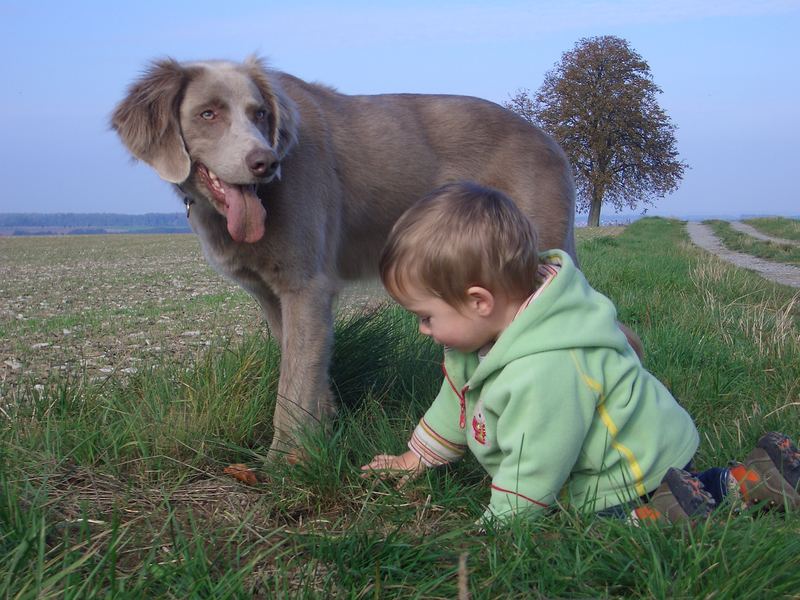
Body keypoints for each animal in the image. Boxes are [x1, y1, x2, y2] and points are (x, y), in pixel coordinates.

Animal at [111, 57, 576, 460]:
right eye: (208, 113)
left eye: (260, 114)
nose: (266, 163)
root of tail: (551, 141)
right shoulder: (272, 295)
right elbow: (307, 372)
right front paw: (319, 435)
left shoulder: (307, 287)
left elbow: (293, 387)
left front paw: (282, 464)